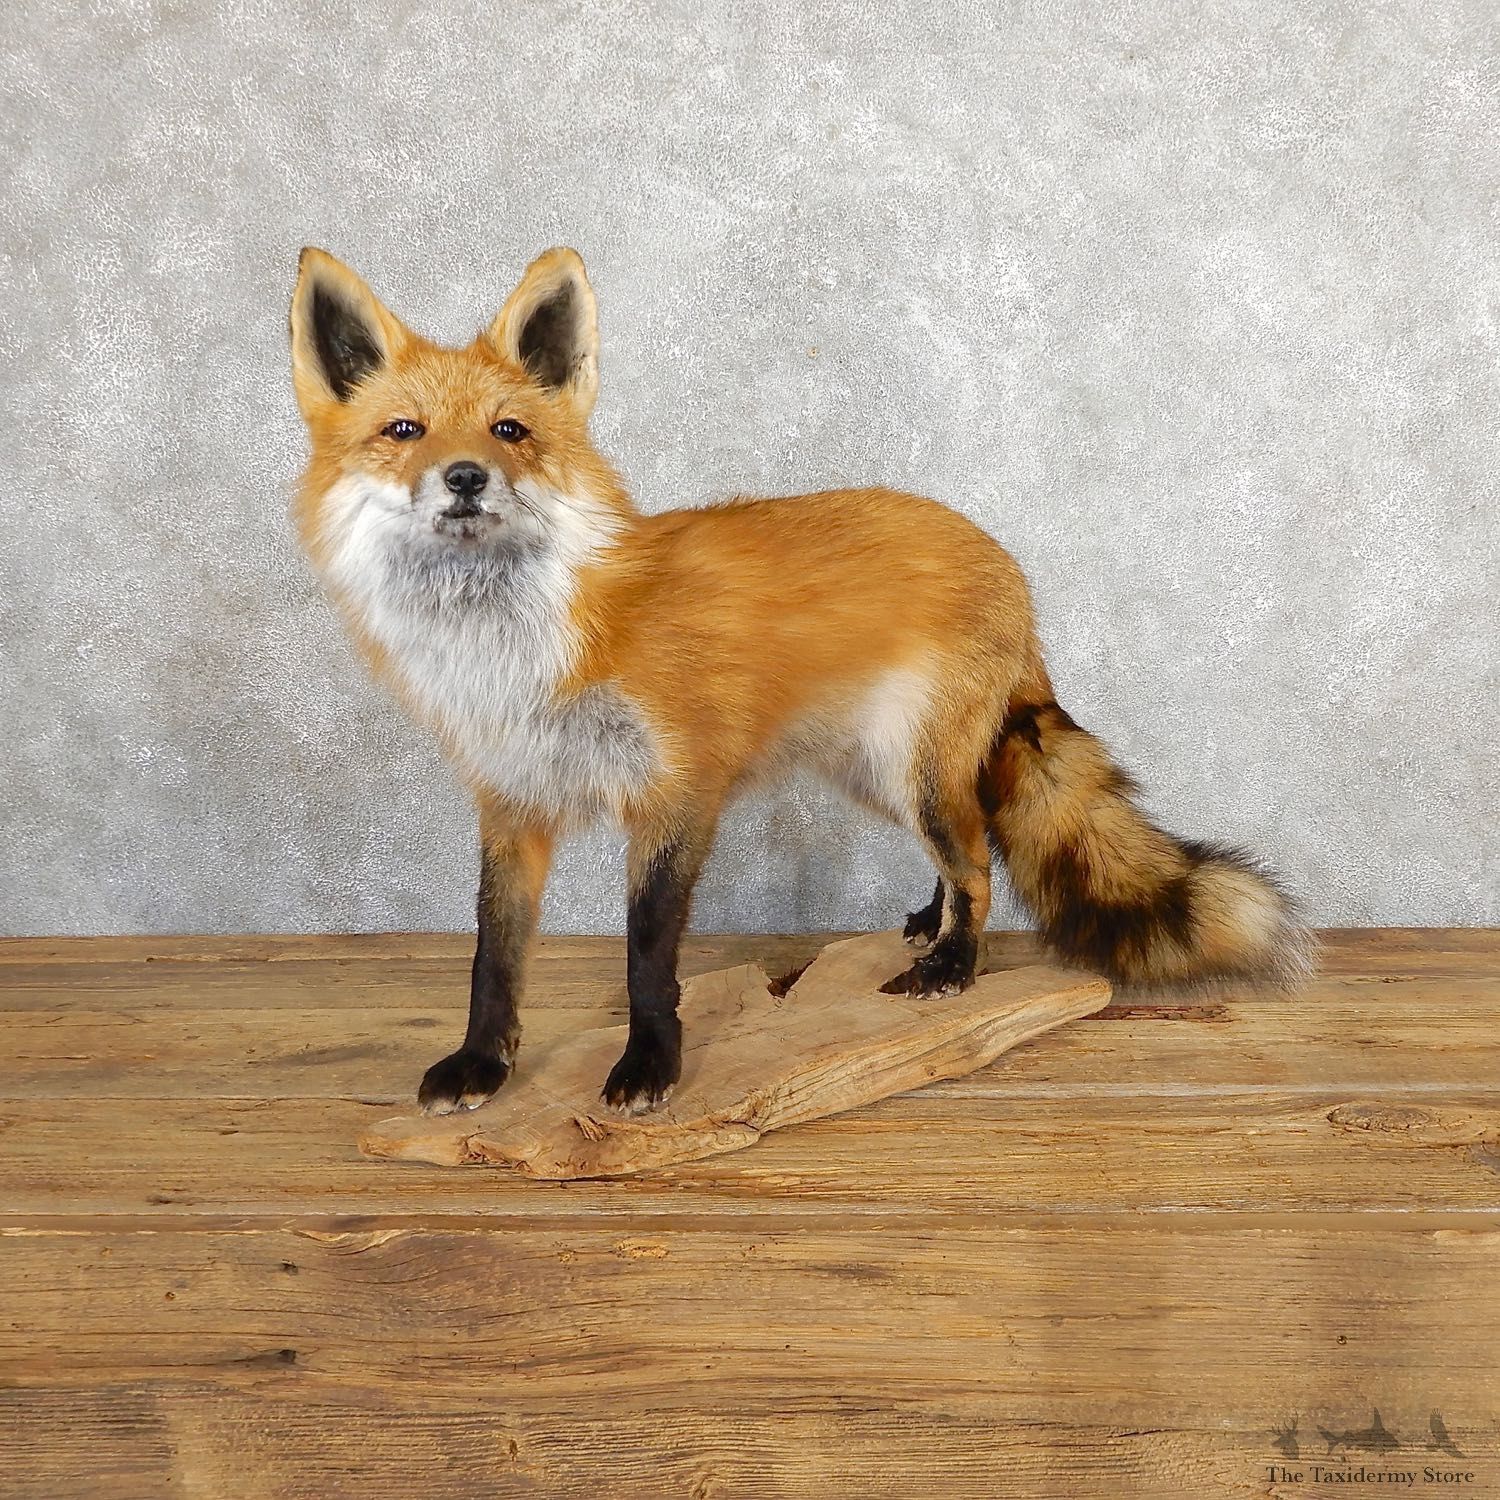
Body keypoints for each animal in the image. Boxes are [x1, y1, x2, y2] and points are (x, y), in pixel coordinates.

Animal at [287, 245, 1313, 1116]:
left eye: (510, 431)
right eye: (404, 431)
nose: (464, 477)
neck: (511, 651)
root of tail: (1002, 560)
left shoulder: (676, 794)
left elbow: (647, 956)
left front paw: (649, 1066)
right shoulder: (512, 802)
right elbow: (492, 959)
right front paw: (482, 1065)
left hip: (913, 769)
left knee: (979, 862)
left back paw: (953, 968)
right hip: (879, 775)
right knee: (964, 847)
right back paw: (926, 925)